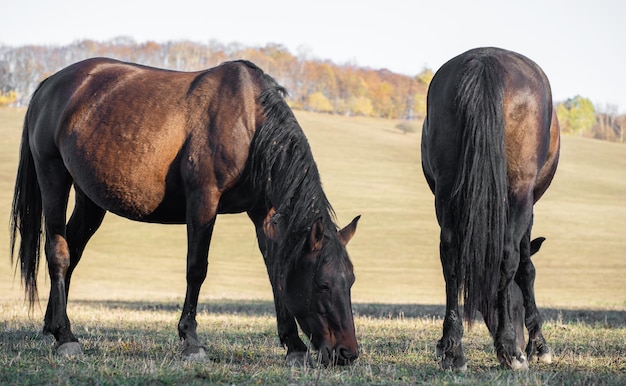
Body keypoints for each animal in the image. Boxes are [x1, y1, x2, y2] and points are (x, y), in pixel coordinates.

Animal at [9, 58, 358, 366]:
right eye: (323, 284)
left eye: (351, 281)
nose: (347, 354)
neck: (250, 123)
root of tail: (49, 84)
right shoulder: (203, 200)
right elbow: (196, 268)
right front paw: (191, 341)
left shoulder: (263, 213)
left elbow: (277, 273)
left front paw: (294, 345)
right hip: (53, 176)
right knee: (58, 252)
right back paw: (66, 337)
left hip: (90, 199)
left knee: (73, 250)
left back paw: (52, 326)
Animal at [420, 46, 560, 370]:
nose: (521, 341)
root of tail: (485, 62)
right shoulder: (528, 207)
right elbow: (526, 268)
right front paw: (537, 345)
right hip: (520, 190)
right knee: (508, 256)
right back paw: (510, 350)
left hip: (446, 189)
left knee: (450, 256)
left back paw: (453, 350)